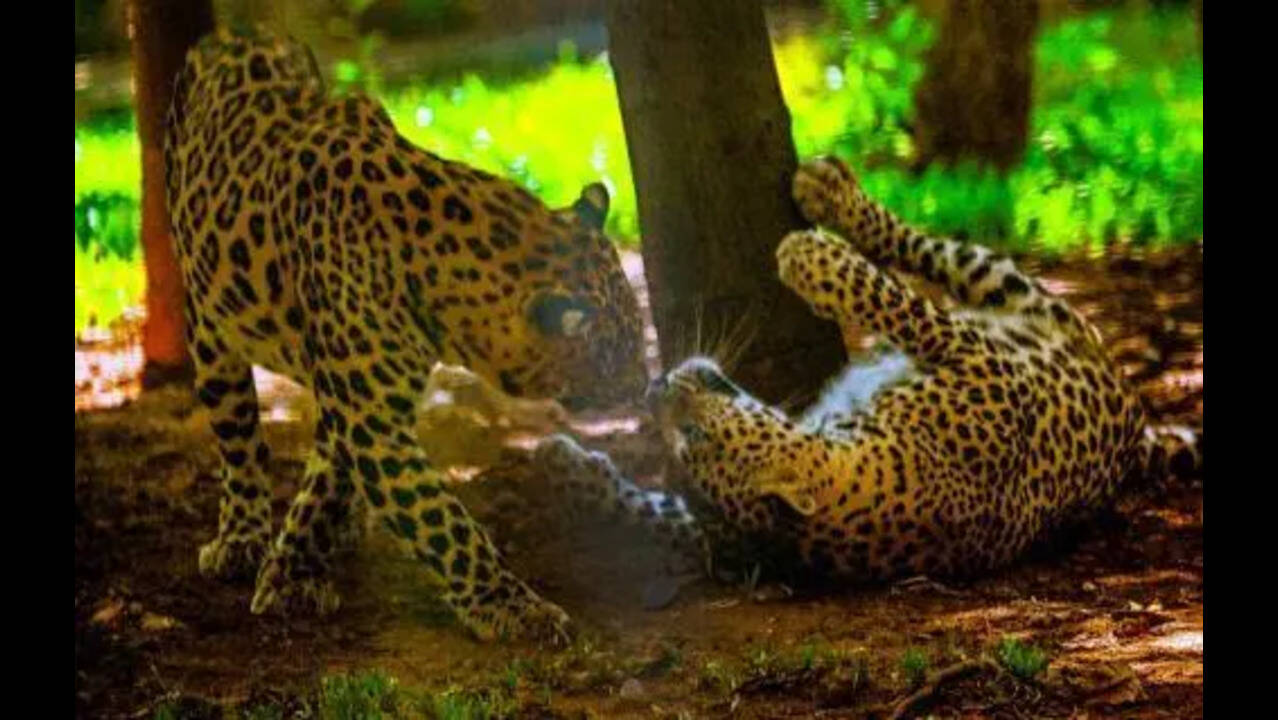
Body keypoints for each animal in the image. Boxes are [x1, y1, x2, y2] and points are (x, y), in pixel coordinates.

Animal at [162, 27, 647, 642]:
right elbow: (445, 525)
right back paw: (241, 537)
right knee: (240, 441)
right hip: (209, 331)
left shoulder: (358, 403)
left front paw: (296, 568)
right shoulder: (372, 421)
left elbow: (328, 484)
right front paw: (516, 608)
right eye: (615, 354)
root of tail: (239, 30)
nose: (645, 386)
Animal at [533, 155, 1201, 588]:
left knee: (922, 253)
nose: (653, 389)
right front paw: (564, 469)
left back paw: (825, 192)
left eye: (691, 436)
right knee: (926, 255)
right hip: (1027, 299)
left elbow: (895, 304)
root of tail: (1136, 426)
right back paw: (827, 197)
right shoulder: (978, 357)